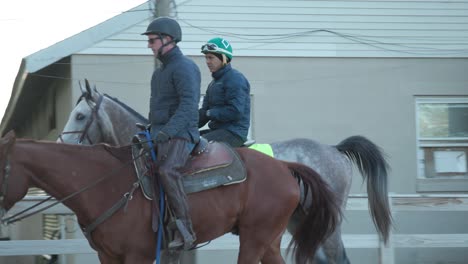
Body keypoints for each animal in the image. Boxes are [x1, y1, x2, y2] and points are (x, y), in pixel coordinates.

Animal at [0, 132, 340, 264]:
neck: (104, 184)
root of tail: (284, 167)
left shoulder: (137, 255)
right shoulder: (107, 256)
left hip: (254, 239)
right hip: (269, 239)